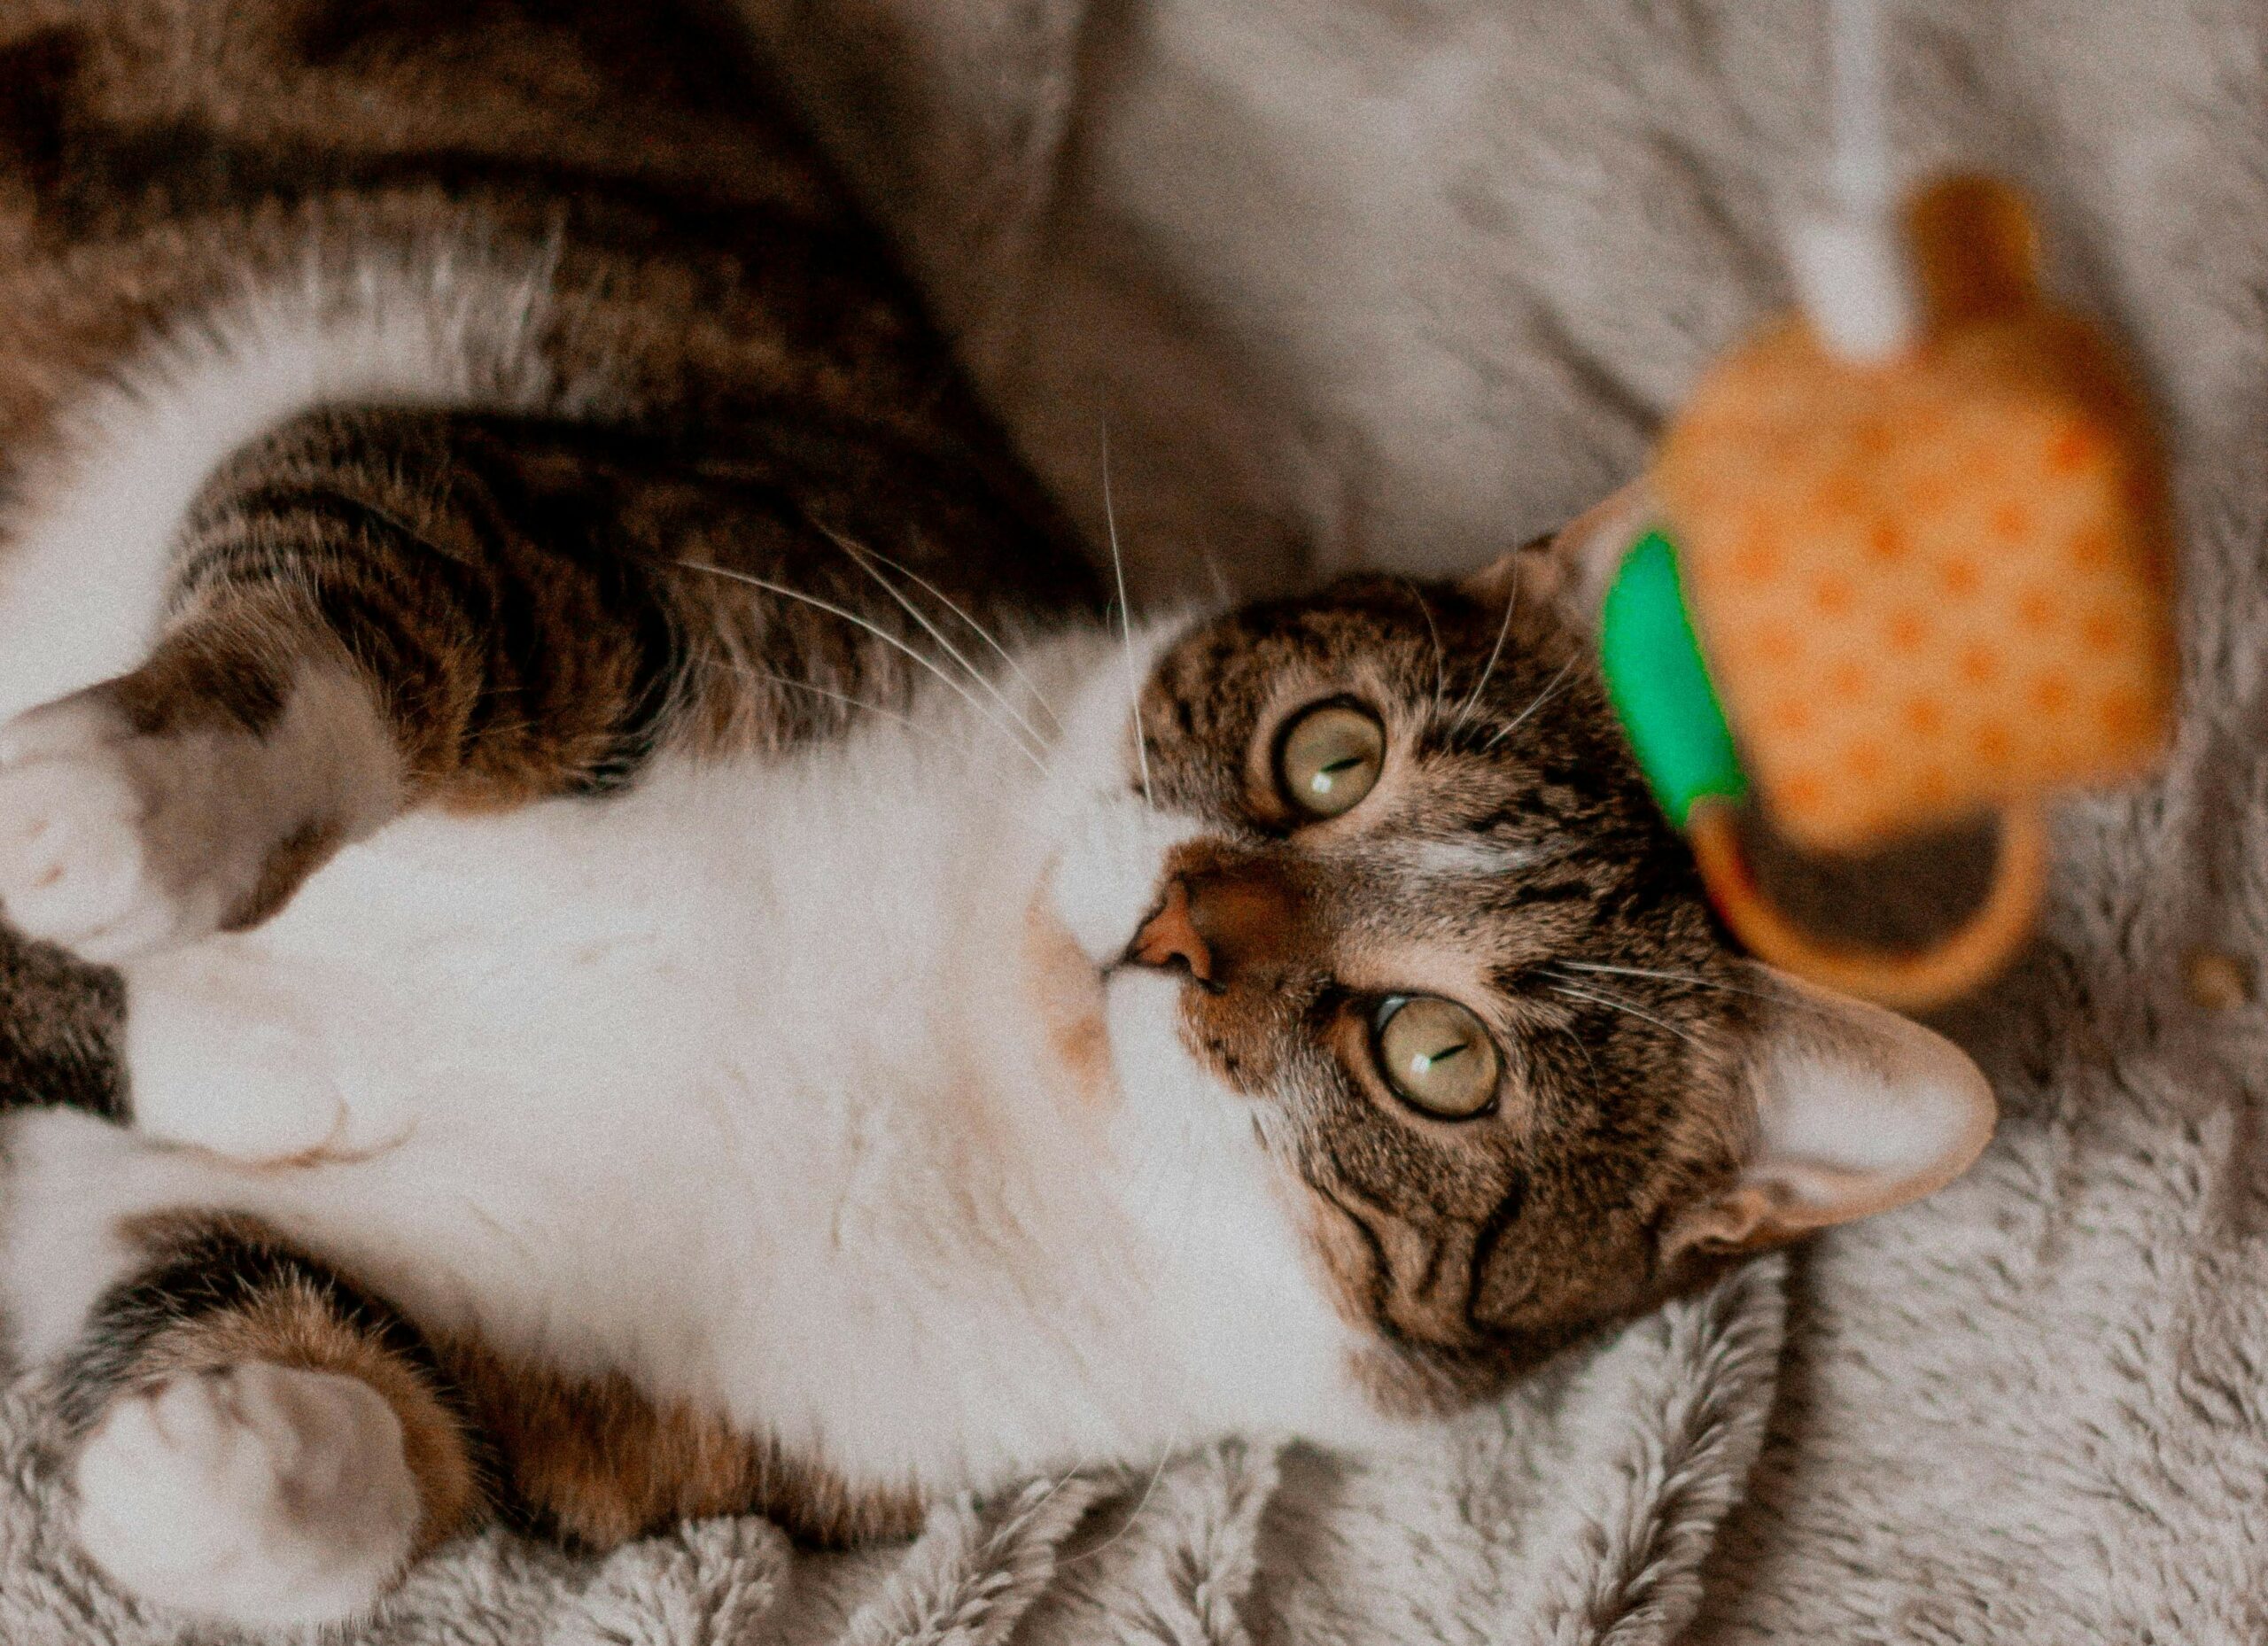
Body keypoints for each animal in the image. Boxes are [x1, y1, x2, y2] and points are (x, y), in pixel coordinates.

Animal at [0, 0, 2005, 1632]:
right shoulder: (586, 541)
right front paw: (115, 818)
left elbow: (377, 1424)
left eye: (1436, 1056)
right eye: (1329, 754)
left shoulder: (625, 1387)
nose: (1181, 929)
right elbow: (351, 629)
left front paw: (212, 1453)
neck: (949, 1051)